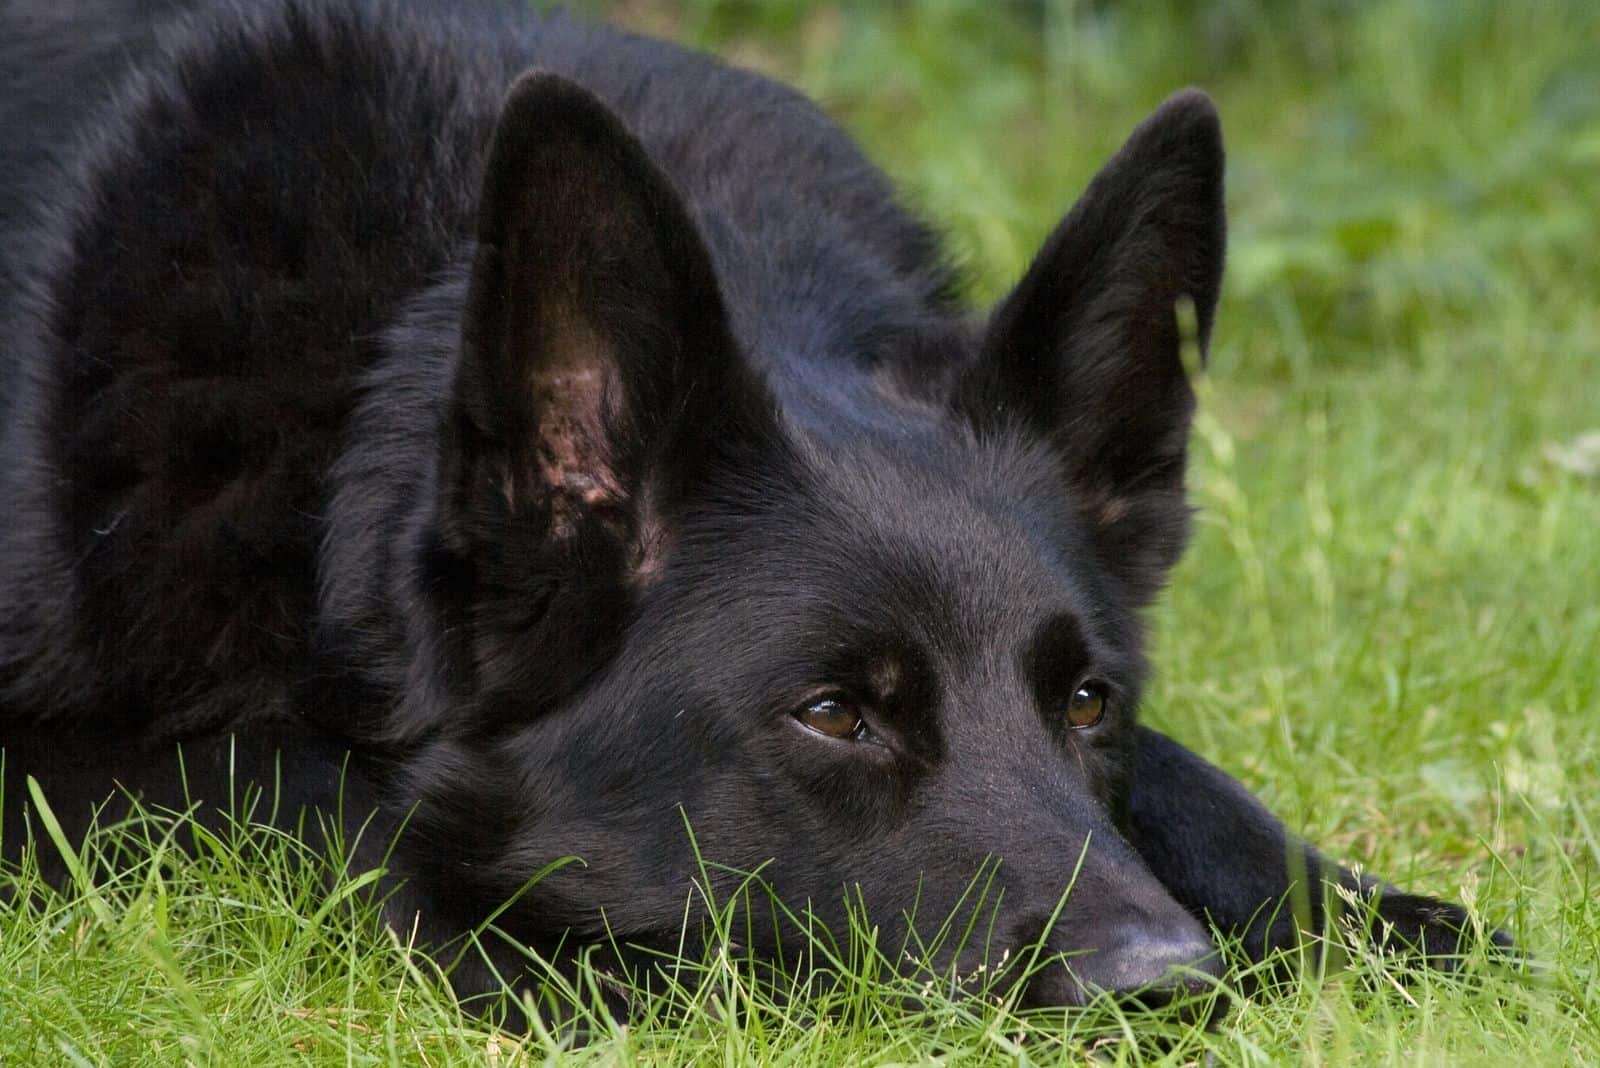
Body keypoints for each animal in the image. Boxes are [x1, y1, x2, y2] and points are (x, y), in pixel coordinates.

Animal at [0, 0, 1504, 1016]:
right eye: (831, 714)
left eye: (1089, 704)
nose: (1164, 989)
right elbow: (307, 803)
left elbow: (1213, 796)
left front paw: (1384, 925)